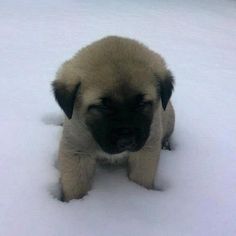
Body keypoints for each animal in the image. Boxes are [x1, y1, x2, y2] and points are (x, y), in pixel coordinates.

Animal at [51, 36, 174, 202]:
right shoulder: (76, 149)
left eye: (141, 104)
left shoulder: (147, 146)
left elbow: (141, 178)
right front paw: (76, 204)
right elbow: (75, 186)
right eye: (103, 107)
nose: (126, 140)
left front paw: (140, 195)